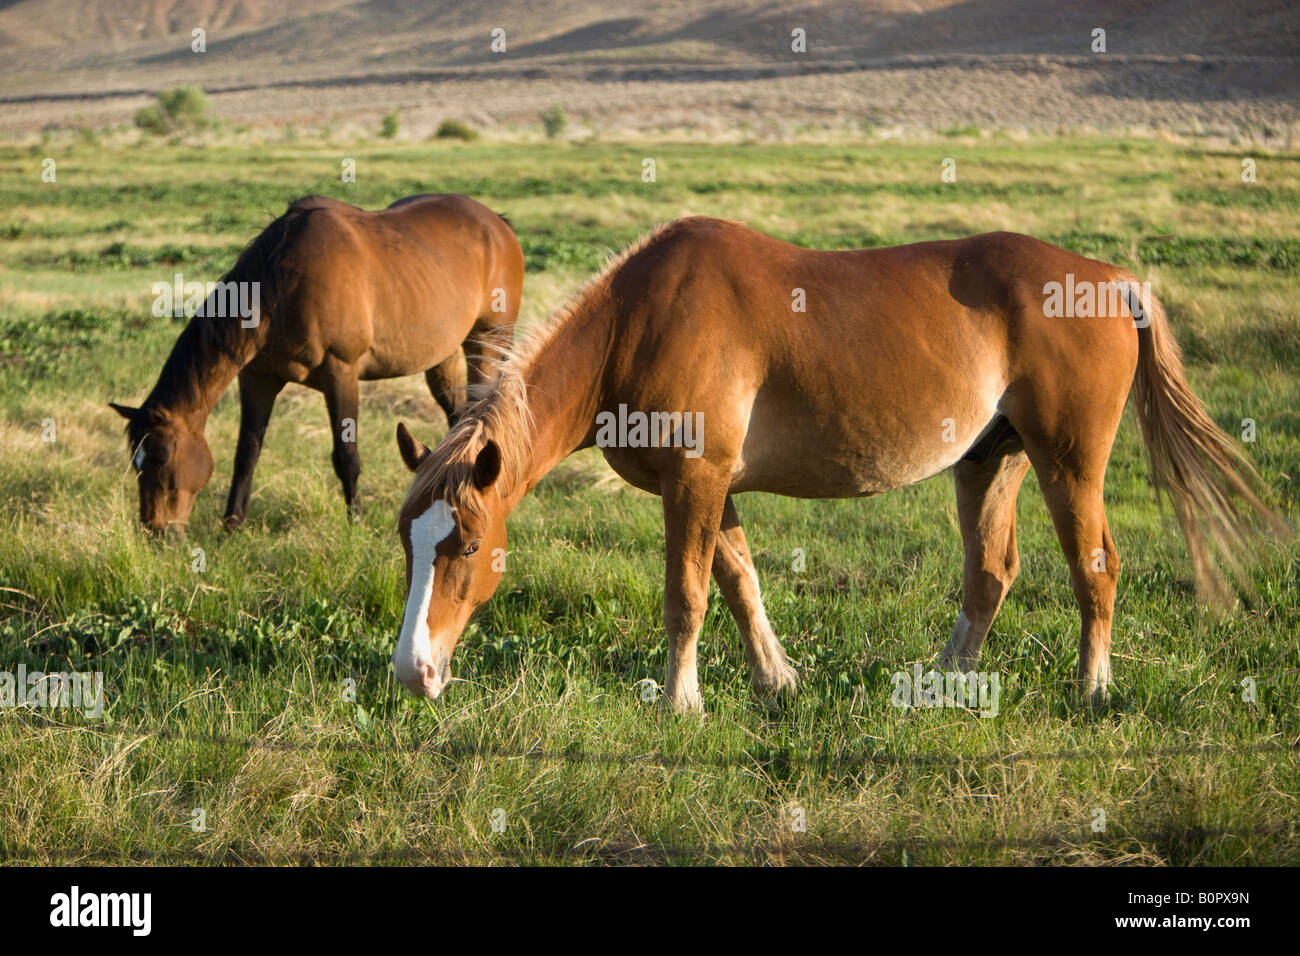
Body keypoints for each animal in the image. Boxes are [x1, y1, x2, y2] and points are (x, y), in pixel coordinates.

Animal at [111, 193, 524, 533]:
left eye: (163, 459)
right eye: (136, 462)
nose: (155, 531)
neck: (282, 283)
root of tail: (499, 224)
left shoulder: (341, 374)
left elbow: (346, 456)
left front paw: (355, 521)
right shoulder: (258, 378)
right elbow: (247, 452)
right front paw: (232, 524)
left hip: (488, 341)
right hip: (443, 356)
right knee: (458, 415)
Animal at [390, 216, 1287, 713]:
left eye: (466, 547)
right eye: (407, 546)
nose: (413, 673)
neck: (638, 322)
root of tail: (1113, 282)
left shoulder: (694, 480)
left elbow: (687, 596)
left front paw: (681, 703)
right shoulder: (715, 488)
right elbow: (741, 583)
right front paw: (776, 682)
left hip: (1069, 465)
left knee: (1095, 568)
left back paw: (1091, 690)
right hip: (990, 461)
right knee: (990, 574)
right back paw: (945, 684)